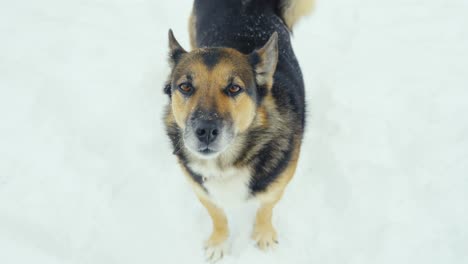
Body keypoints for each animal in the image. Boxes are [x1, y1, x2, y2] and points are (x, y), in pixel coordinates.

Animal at [163, 0, 312, 260]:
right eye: (185, 87)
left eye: (234, 88)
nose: (205, 130)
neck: (226, 164)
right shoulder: (202, 190)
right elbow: (217, 215)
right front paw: (219, 242)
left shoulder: (278, 183)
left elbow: (266, 208)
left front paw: (263, 234)